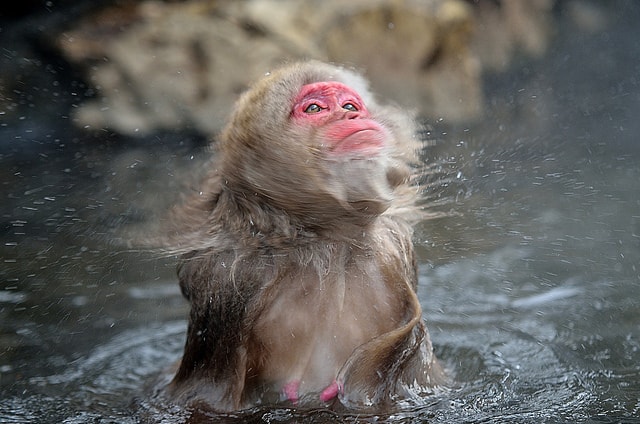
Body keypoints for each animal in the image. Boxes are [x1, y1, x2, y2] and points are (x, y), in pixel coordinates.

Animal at [161, 59, 444, 410]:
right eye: (315, 108)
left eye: (349, 106)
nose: (352, 117)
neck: (326, 242)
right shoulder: (226, 280)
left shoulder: (390, 256)